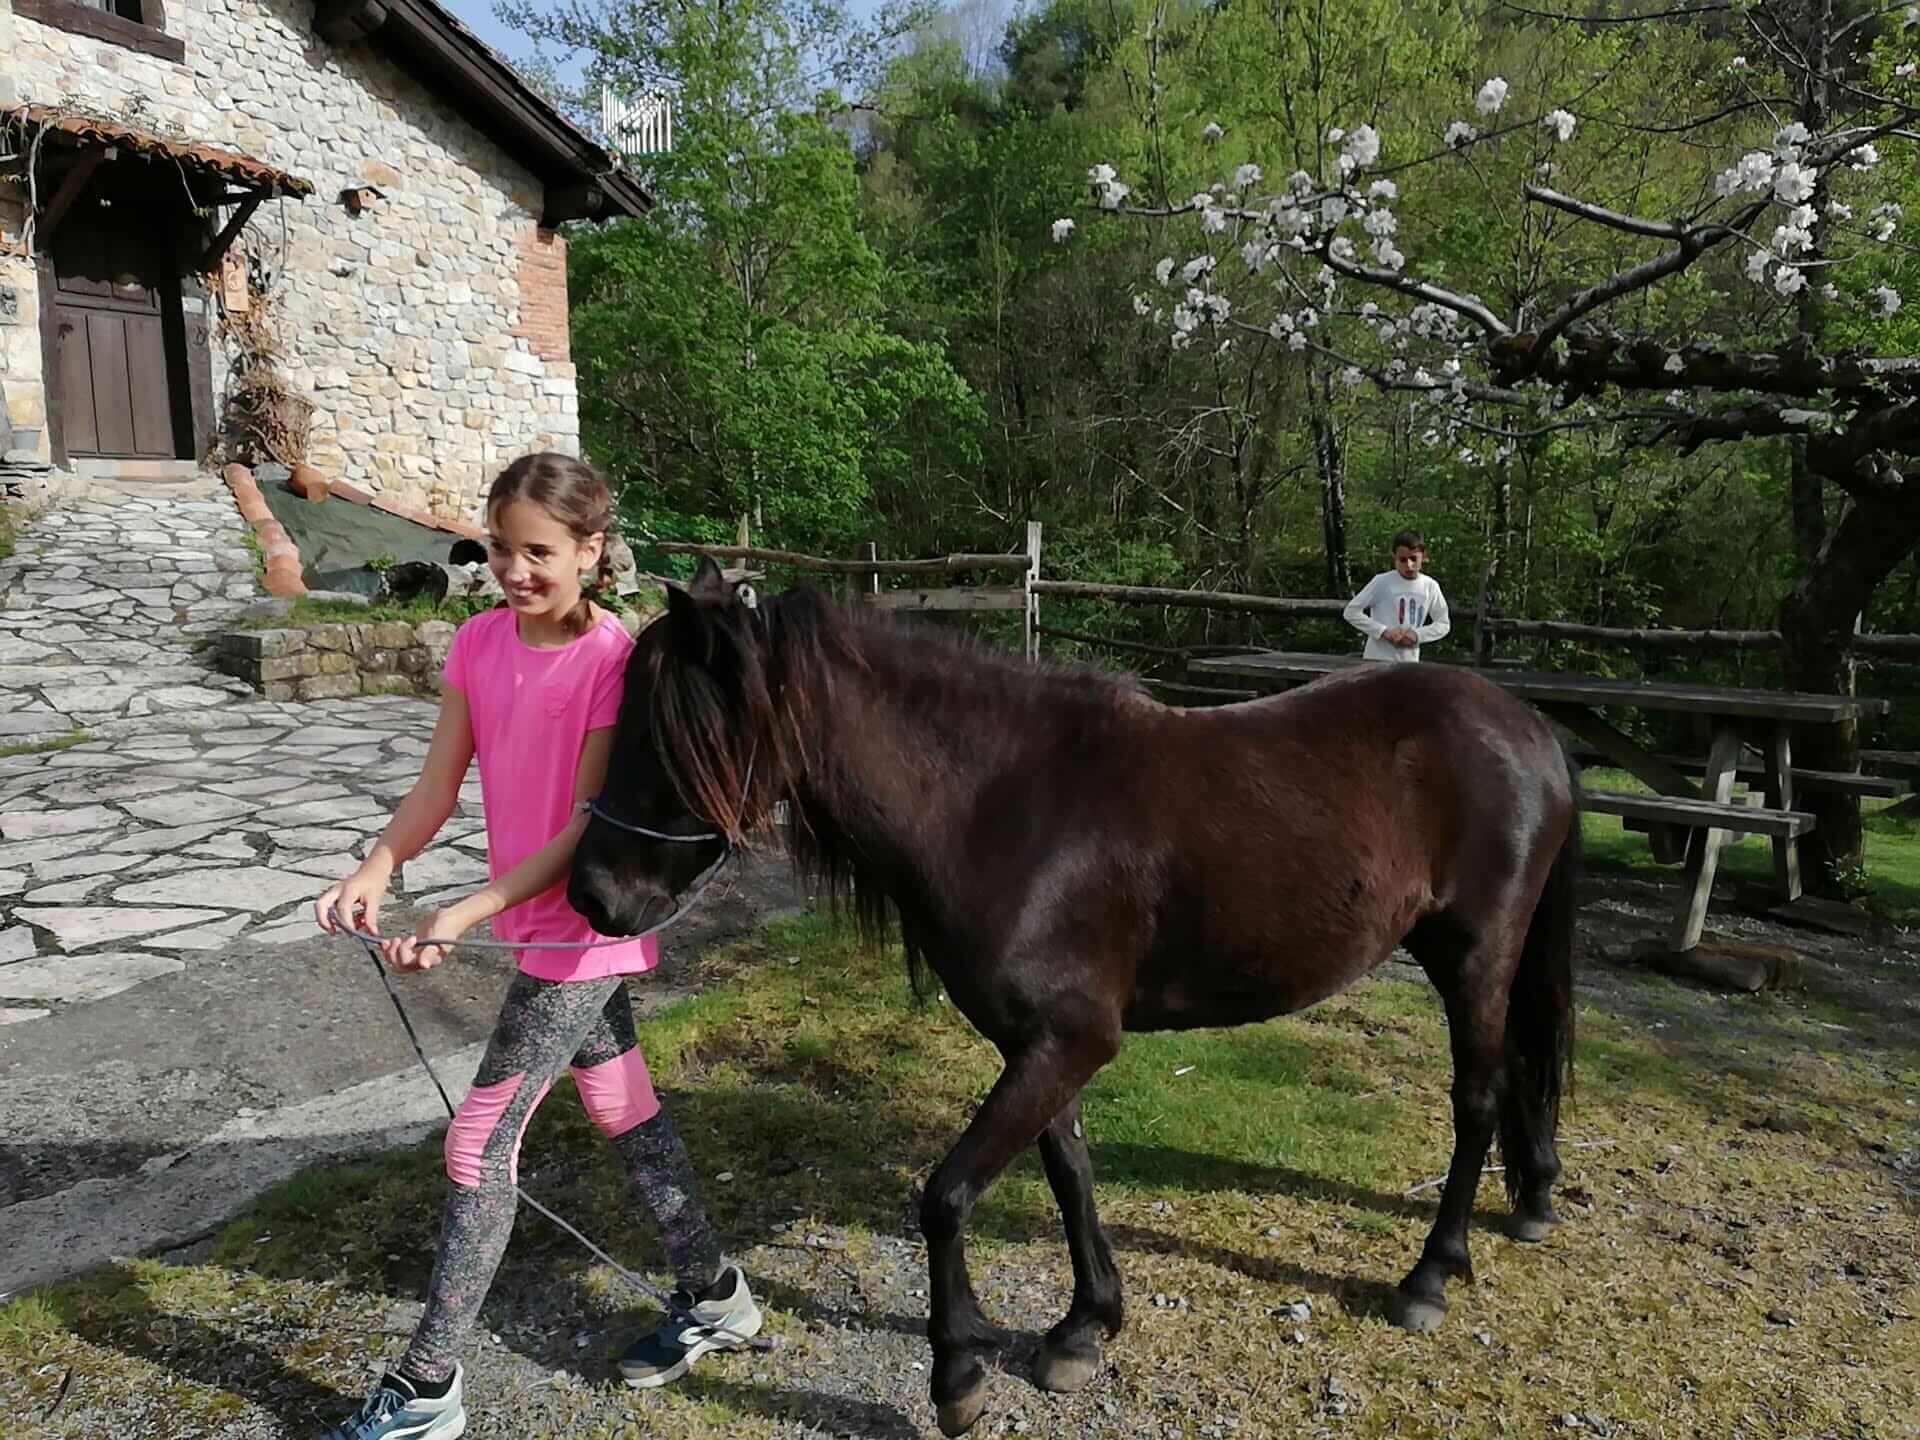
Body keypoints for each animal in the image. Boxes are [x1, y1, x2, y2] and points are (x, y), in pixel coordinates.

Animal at [564, 560, 1574, 1436]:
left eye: (661, 734)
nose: (592, 896)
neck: (1003, 807)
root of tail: (1528, 727)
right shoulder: (1042, 1045)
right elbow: (1068, 1173)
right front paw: (1085, 1326)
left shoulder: (1070, 1042)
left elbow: (947, 1195)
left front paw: (957, 1375)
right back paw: (1531, 1198)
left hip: (1476, 957)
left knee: (1478, 1098)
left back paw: (1430, 1278)